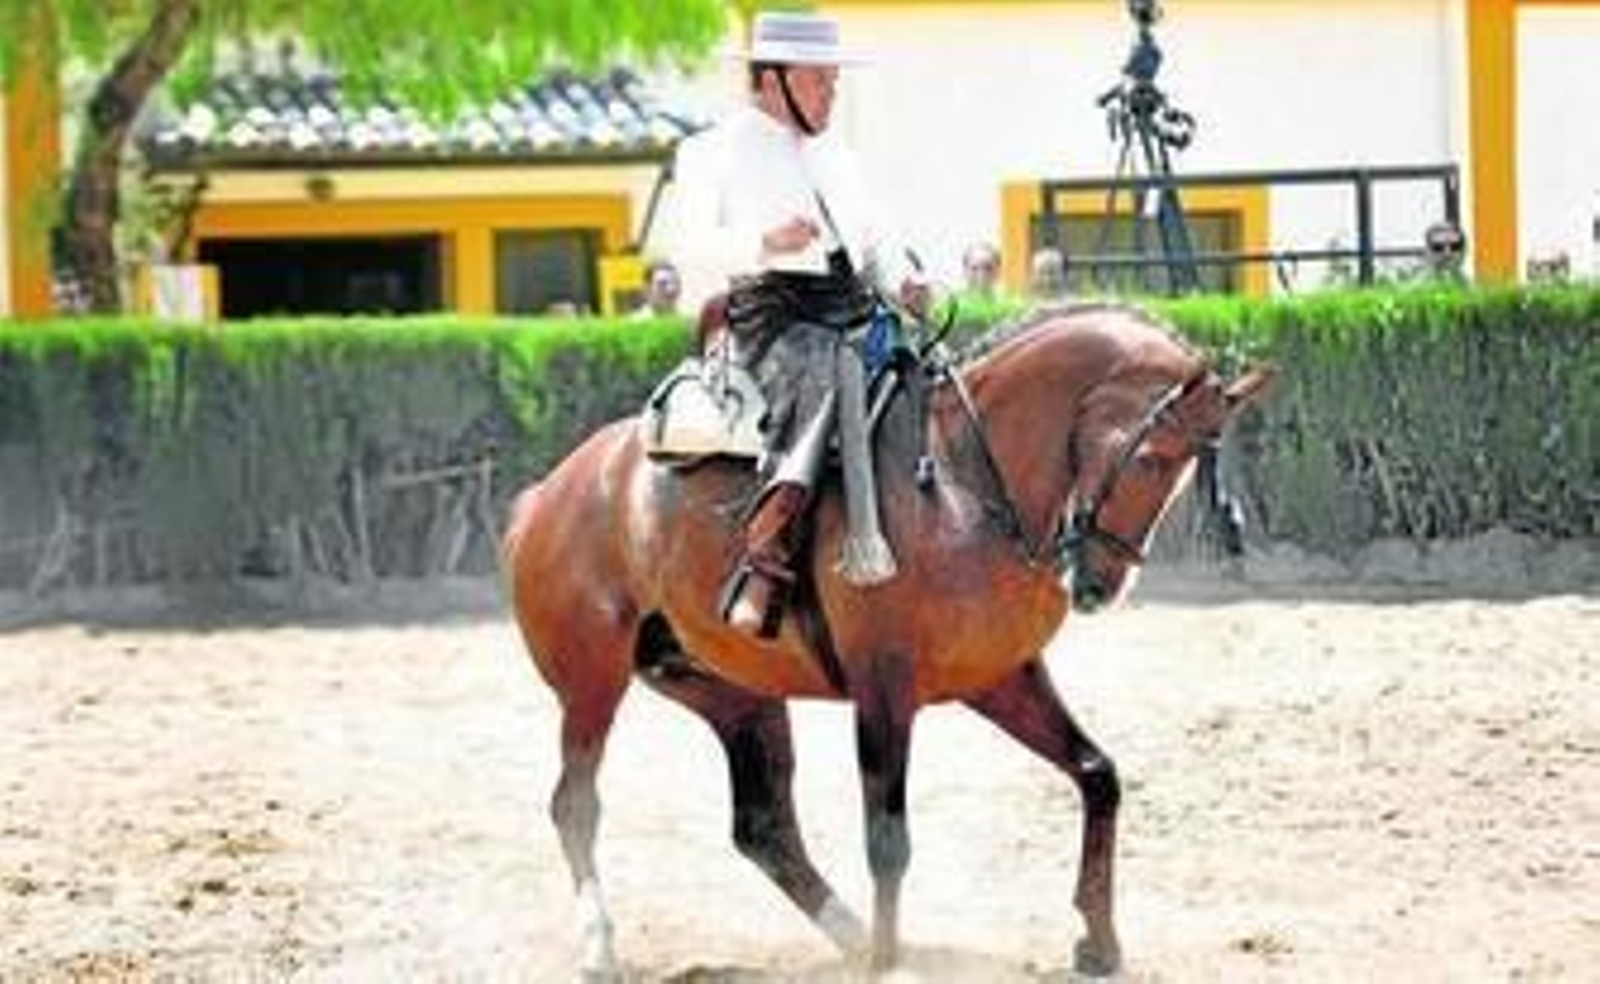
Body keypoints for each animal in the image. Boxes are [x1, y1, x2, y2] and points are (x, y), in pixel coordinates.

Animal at [502, 302, 1274, 979]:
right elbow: (887, 839)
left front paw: (1100, 942)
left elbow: (1097, 774)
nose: (1099, 583)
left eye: (1186, 472)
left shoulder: (1002, 678)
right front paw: (889, 961)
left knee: (764, 827)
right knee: (575, 805)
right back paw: (601, 945)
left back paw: (852, 936)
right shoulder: (884, 689)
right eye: (1151, 459)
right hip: (592, 683)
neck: (962, 482)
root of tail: (548, 493)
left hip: (735, 695)